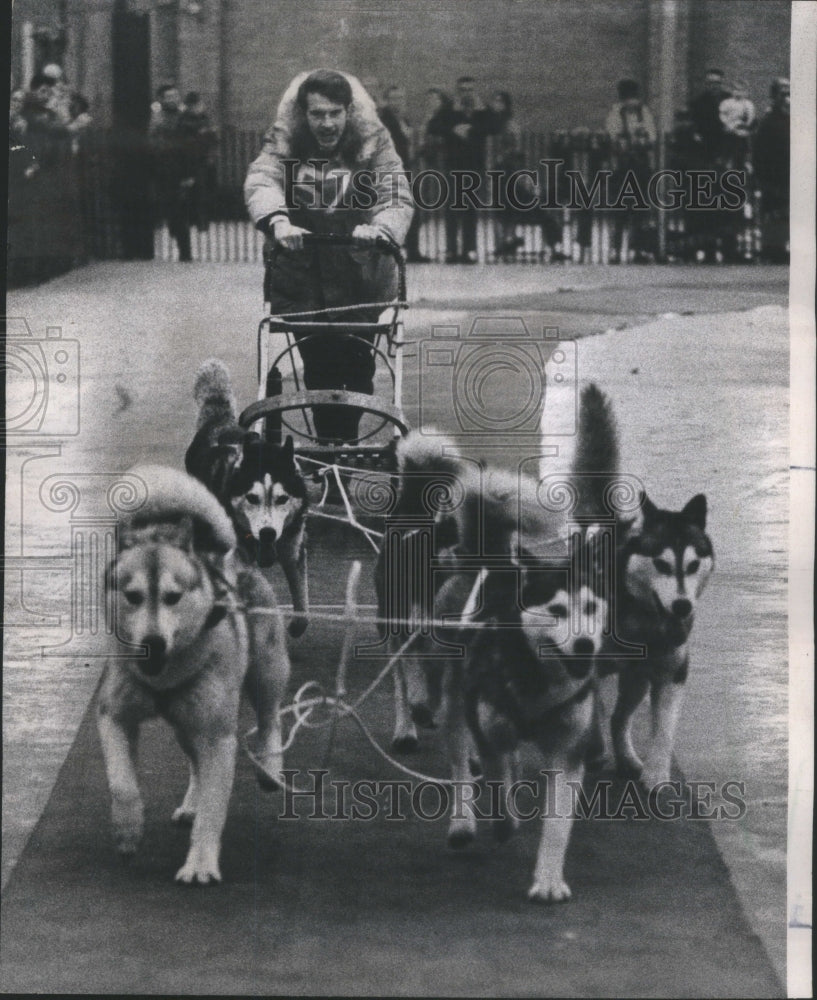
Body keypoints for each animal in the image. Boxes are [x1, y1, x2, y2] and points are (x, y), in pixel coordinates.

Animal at [96, 466, 290, 884]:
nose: (152, 642)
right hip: (186, 723)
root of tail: (228, 559)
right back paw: (190, 803)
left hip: (265, 673)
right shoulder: (113, 715)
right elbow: (122, 784)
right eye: (133, 596)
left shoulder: (218, 735)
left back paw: (270, 768)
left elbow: (213, 812)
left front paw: (200, 864)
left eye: (173, 597)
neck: (163, 678)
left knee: (270, 718)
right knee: (195, 763)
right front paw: (128, 830)